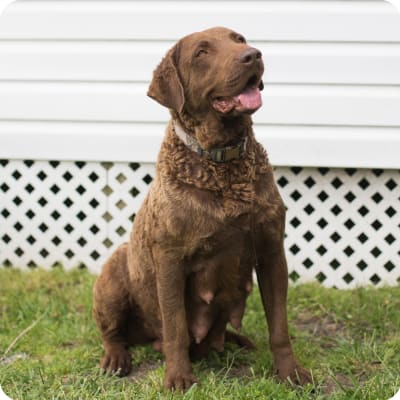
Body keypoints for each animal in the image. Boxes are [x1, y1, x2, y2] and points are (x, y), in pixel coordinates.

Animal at [94, 26, 312, 390]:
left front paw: (290, 373)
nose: (253, 55)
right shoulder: (170, 259)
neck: (222, 163)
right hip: (113, 274)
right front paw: (179, 378)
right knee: (114, 332)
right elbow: (176, 328)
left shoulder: (271, 250)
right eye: (201, 53)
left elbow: (279, 327)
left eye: (239, 40)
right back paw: (116, 358)